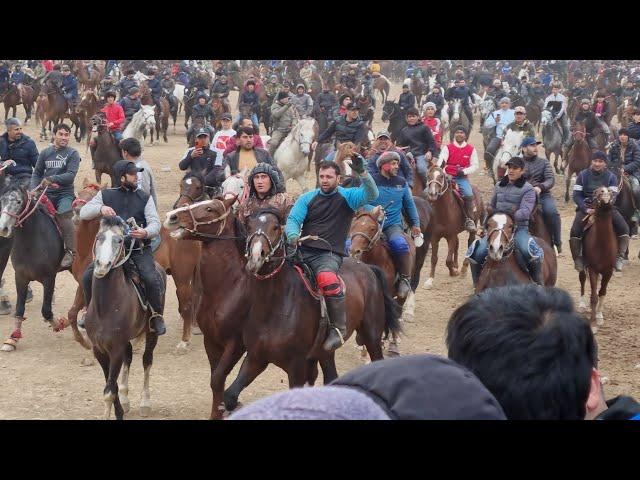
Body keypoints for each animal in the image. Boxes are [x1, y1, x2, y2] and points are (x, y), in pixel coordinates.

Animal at [0, 182, 67, 350]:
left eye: (18, 201)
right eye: (1, 201)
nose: (3, 228)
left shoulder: (49, 278)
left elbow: (46, 310)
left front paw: (59, 324)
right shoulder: (20, 277)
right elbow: (19, 309)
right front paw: (13, 338)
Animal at [85, 216, 165, 418]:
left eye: (119, 240)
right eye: (98, 237)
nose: (102, 265)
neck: (105, 309)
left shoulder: (115, 349)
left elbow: (109, 391)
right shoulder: (100, 350)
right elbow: (110, 385)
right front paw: (120, 409)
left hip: (151, 333)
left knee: (147, 360)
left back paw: (145, 402)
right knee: (129, 358)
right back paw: (126, 398)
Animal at [576, 186, 616, 332]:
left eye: (611, 191)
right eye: (597, 192)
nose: (605, 196)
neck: (602, 244)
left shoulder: (608, 271)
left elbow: (602, 292)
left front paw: (599, 316)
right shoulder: (593, 269)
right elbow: (593, 297)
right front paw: (592, 323)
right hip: (582, 265)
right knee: (582, 279)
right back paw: (582, 305)